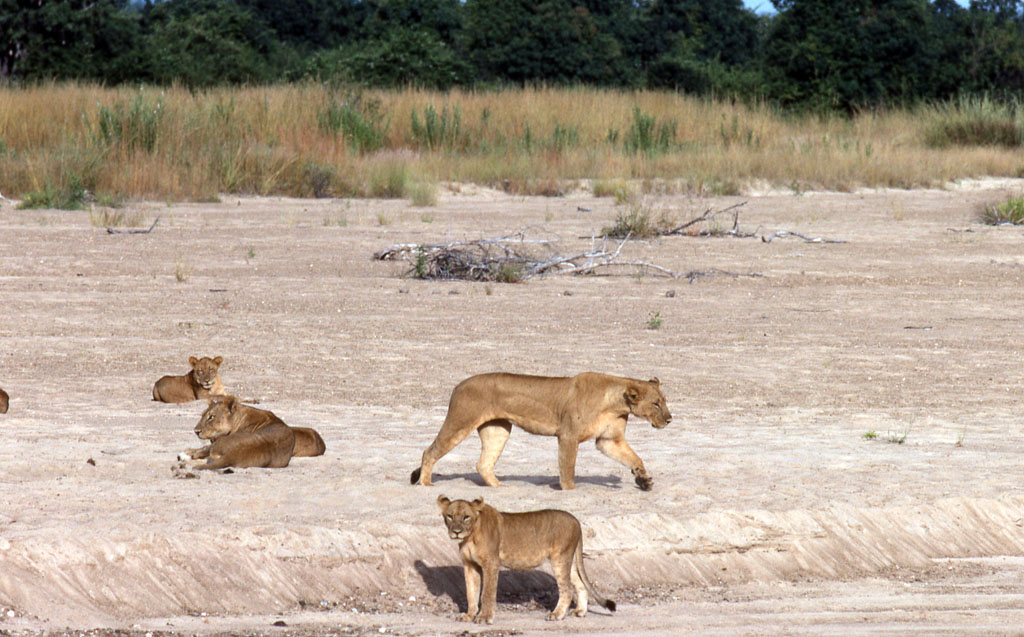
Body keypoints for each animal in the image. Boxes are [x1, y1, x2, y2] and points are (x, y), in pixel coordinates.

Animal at [184, 397, 323, 471]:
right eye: (202, 415)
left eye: (211, 417)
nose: (196, 431)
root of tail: (233, 454)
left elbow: (205, 448)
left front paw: (190, 452)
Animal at [411, 374, 667, 493]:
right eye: (656, 404)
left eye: (664, 401)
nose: (669, 419)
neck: (615, 403)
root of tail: (458, 385)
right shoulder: (568, 436)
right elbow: (568, 467)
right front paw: (570, 491)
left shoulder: (609, 440)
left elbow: (634, 458)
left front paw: (644, 480)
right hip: (460, 421)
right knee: (429, 451)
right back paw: (426, 483)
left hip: (498, 430)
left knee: (483, 464)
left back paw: (499, 487)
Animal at [434, 497, 610, 626]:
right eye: (450, 516)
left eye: (466, 517)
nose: (457, 532)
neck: (470, 537)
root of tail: (576, 520)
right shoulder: (470, 565)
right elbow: (471, 592)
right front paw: (469, 615)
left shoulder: (491, 563)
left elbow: (486, 593)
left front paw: (485, 618)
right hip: (570, 560)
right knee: (580, 584)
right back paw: (580, 611)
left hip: (560, 558)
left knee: (567, 588)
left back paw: (557, 614)